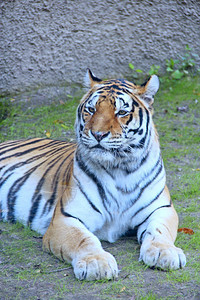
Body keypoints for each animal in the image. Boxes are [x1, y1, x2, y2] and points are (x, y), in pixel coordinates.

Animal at [0, 70, 186, 282]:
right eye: (91, 109)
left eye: (121, 112)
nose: (98, 134)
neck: (120, 169)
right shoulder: (66, 217)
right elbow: (83, 239)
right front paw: (96, 262)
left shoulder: (161, 209)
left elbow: (159, 231)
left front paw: (165, 252)